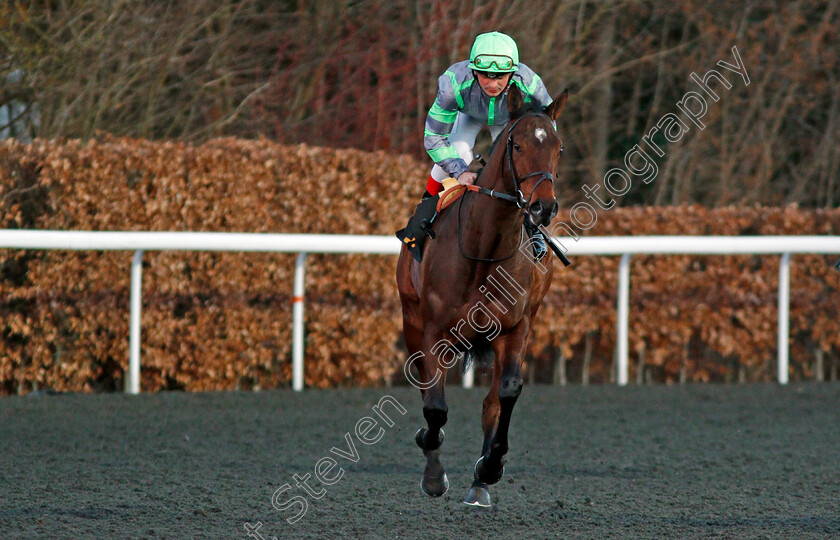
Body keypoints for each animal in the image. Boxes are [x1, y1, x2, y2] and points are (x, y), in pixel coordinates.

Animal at [396, 86, 568, 508]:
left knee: (492, 402)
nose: (543, 206)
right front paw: (434, 474)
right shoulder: (434, 329)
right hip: (411, 319)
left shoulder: (516, 328)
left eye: (558, 147)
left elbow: (504, 394)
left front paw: (490, 467)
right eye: (517, 145)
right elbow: (434, 406)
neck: (485, 248)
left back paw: (479, 483)